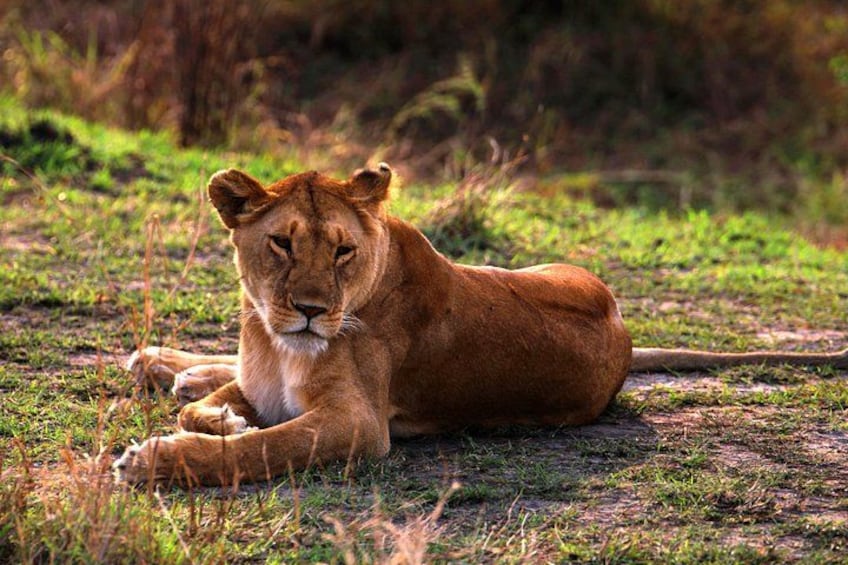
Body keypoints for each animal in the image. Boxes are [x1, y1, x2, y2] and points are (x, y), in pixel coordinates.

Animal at [113, 164, 848, 486]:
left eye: (343, 250)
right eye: (282, 243)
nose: (313, 309)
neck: (269, 333)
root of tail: (624, 328)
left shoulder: (361, 424)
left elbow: (263, 448)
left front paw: (156, 458)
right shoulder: (263, 377)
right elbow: (219, 408)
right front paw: (214, 410)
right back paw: (162, 362)